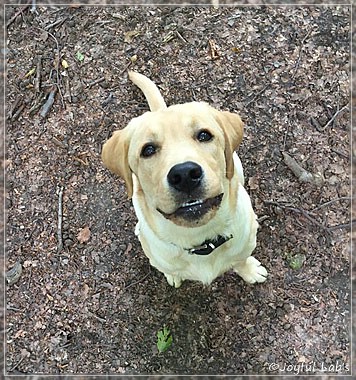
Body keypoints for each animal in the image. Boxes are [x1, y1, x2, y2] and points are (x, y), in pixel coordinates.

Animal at [101, 70, 268, 286]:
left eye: (204, 135)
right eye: (148, 149)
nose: (184, 174)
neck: (200, 242)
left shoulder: (245, 244)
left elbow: (241, 260)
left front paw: (250, 271)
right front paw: (173, 276)